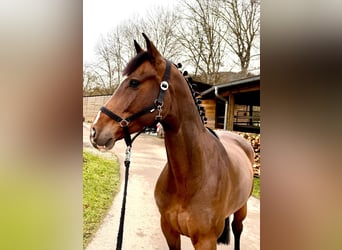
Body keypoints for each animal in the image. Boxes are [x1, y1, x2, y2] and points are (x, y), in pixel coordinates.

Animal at [89, 32, 255, 248]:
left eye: (134, 82)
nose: (95, 130)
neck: (191, 176)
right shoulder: (169, 231)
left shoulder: (206, 241)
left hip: (241, 210)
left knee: (237, 232)